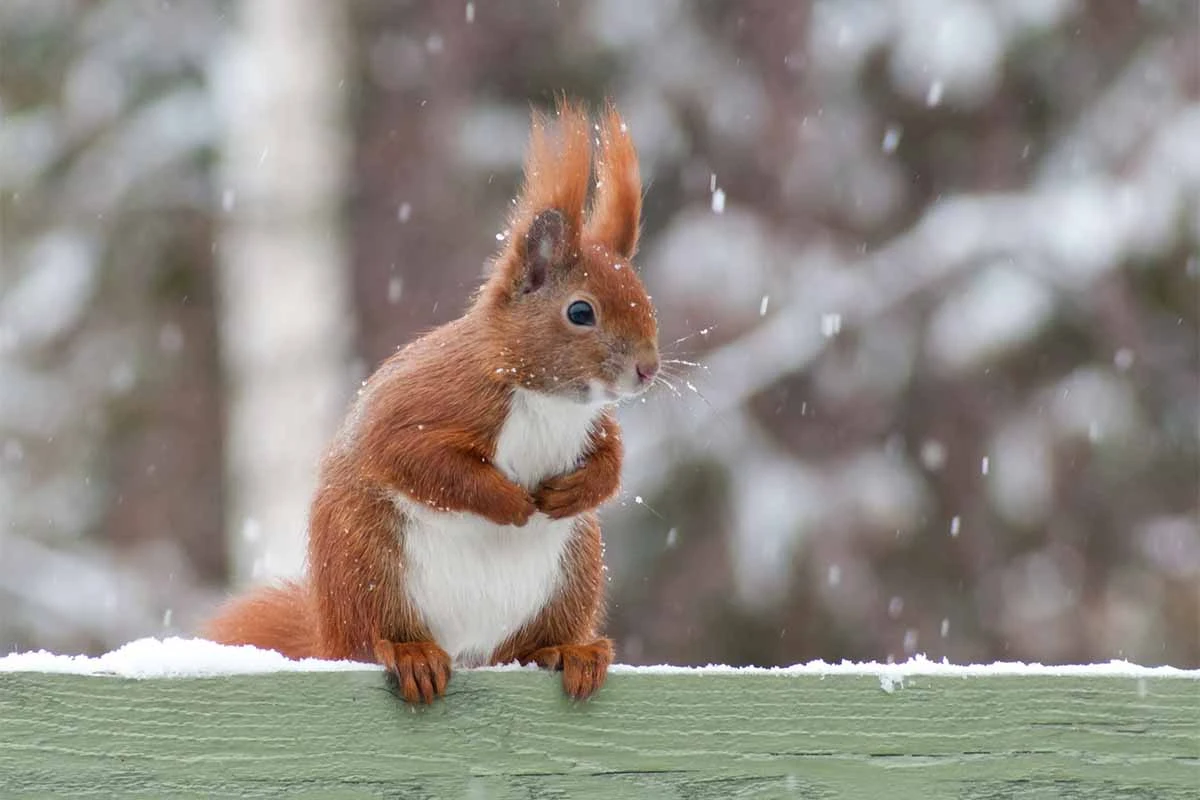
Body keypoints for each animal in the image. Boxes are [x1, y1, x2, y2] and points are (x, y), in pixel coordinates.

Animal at [202, 98, 662, 700]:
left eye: (643, 297)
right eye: (580, 311)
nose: (648, 369)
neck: (549, 399)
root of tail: (466, 647)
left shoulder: (593, 422)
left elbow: (611, 459)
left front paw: (577, 489)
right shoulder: (434, 401)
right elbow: (417, 459)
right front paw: (509, 502)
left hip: (572, 573)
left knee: (527, 648)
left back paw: (568, 651)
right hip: (366, 564)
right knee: (372, 637)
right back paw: (410, 653)